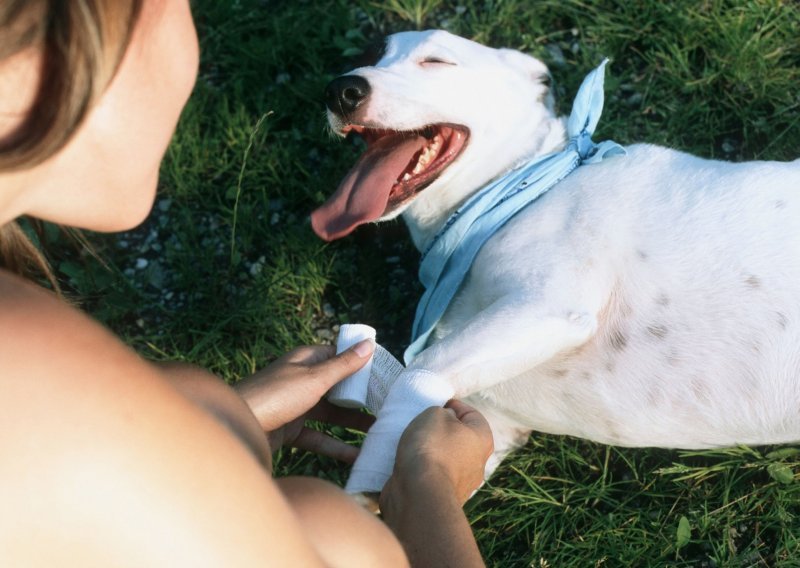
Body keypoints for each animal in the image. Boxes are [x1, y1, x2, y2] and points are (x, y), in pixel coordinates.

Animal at [310, 28, 800, 486]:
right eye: (373, 54)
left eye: (436, 61)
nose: (341, 89)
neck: (516, 188)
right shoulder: (486, 429)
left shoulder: (548, 306)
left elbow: (415, 373)